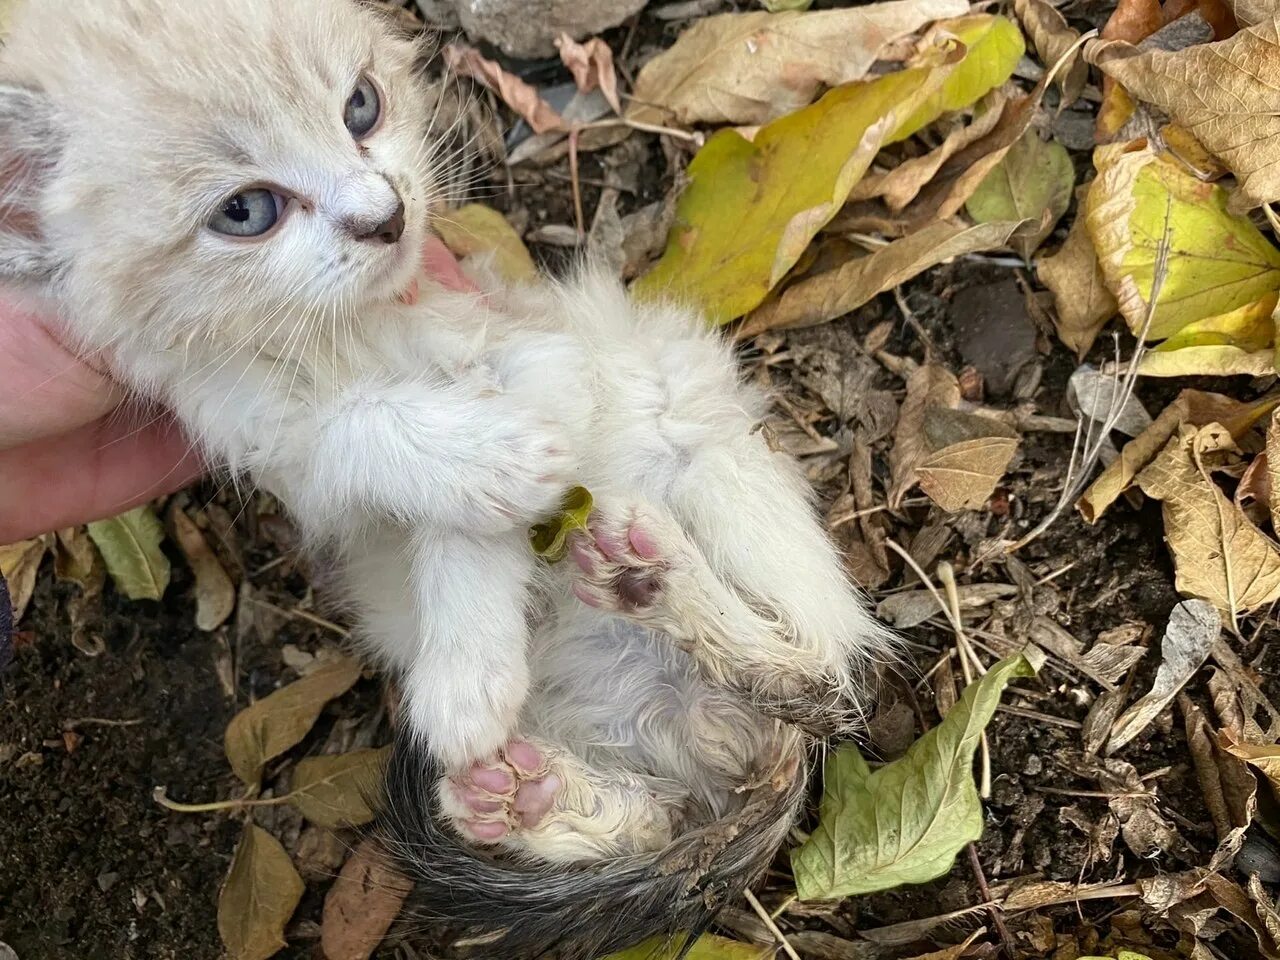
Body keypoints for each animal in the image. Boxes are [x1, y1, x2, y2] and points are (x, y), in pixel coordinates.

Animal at [0, 0, 896, 947]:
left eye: (361, 107)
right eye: (246, 211)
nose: (388, 216)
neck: (343, 333)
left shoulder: (547, 360)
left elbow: (465, 514)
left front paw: (468, 660)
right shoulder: (256, 425)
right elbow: (360, 435)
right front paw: (473, 469)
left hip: (711, 451)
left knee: (820, 676)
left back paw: (656, 581)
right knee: (665, 815)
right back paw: (536, 797)